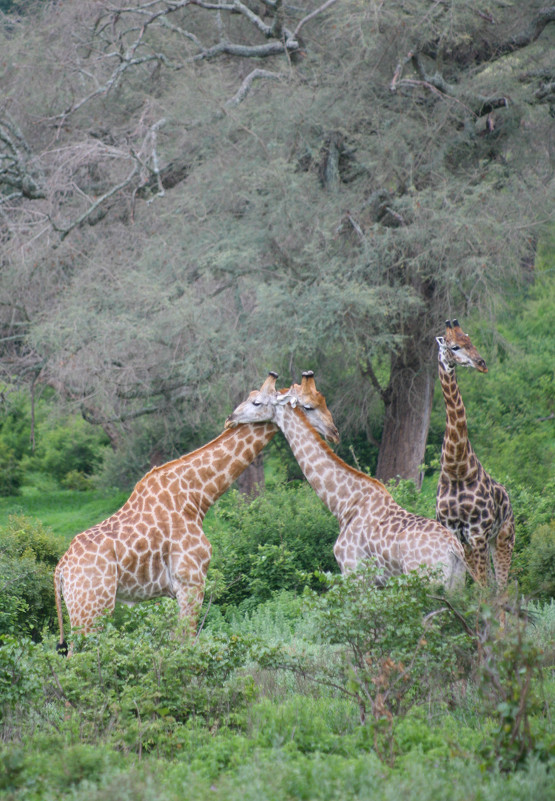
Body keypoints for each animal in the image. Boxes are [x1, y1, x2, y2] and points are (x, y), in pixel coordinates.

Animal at [226, 370, 470, 588]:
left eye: (256, 402)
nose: (230, 418)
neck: (344, 504)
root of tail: (454, 549)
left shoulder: (354, 572)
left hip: (425, 582)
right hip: (455, 586)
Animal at [436, 316, 516, 592]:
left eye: (470, 340)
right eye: (455, 347)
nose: (482, 364)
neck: (456, 467)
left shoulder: (478, 533)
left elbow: (483, 591)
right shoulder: (456, 534)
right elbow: (468, 590)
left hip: (503, 537)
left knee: (502, 588)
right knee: (493, 585)